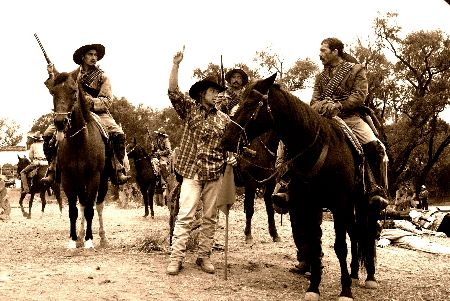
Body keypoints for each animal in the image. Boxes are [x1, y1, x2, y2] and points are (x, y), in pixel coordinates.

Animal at [46, 72, 110, 248]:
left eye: (74, 92)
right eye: (53, 93)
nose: (60, 122)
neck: (79, 142)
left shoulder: (94, 177)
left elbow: (90, 209)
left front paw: (89, 240)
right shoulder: (68, 179)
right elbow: (74, 210)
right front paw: (73, 240)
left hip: (103, 180)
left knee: (98, 205)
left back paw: (102, 237)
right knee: (82, 204)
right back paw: (80, 236)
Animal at [221, 73, 380, 300]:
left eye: (250, 103)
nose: (226, 139)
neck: (317, 148)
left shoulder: (339, 204)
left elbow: (340, 246)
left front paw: (345, 290)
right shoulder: (308, 204)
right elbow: (313, 243)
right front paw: (313, 287)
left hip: (364, 203)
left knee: (366, 232)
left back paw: (369, 277)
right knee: (356, 233)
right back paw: (355, 273)